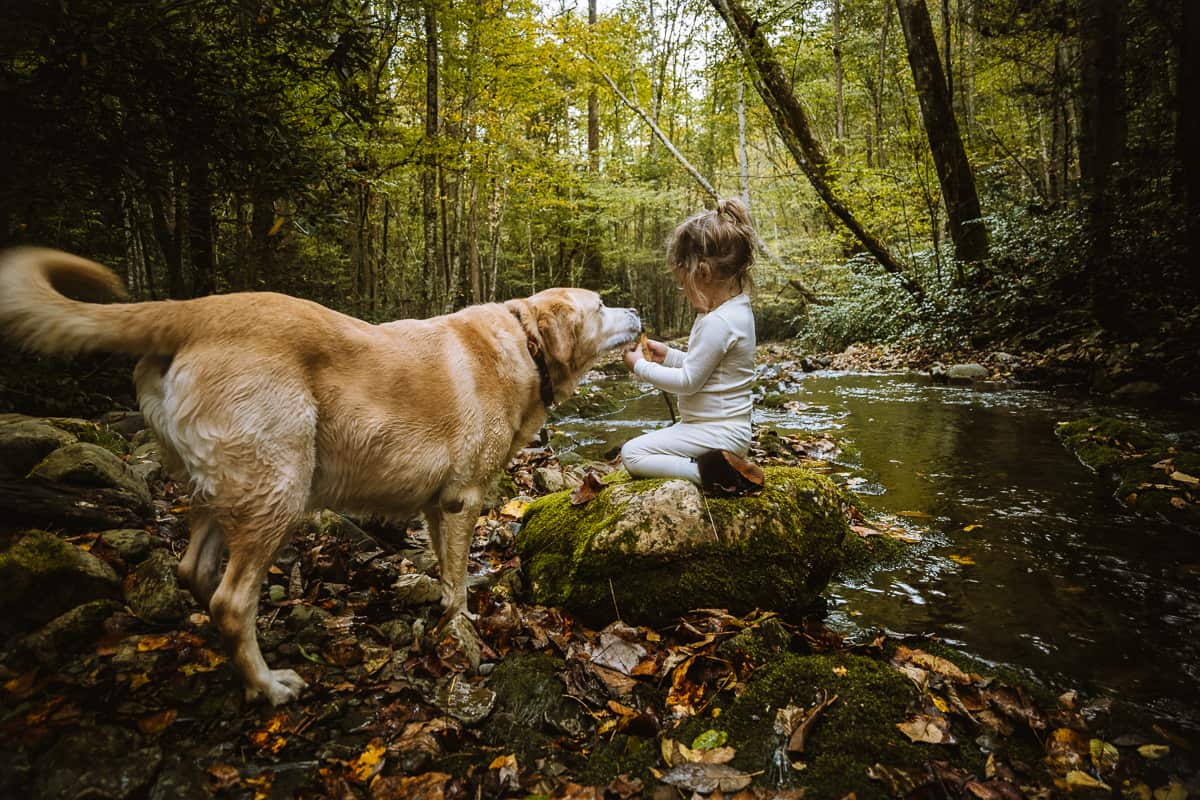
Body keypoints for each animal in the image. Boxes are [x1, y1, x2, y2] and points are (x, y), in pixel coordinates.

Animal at [0, 247, 643, 705]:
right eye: (601, 306)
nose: (637, 311)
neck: (525, 343)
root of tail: (192, 309)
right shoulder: (462, 500)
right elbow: (458, 584)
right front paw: (462, 632)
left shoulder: (437, 506)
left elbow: (444, 567)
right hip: (280, 485)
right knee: (231, 600)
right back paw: (267, 686)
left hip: (221, 484)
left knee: (194, 571)